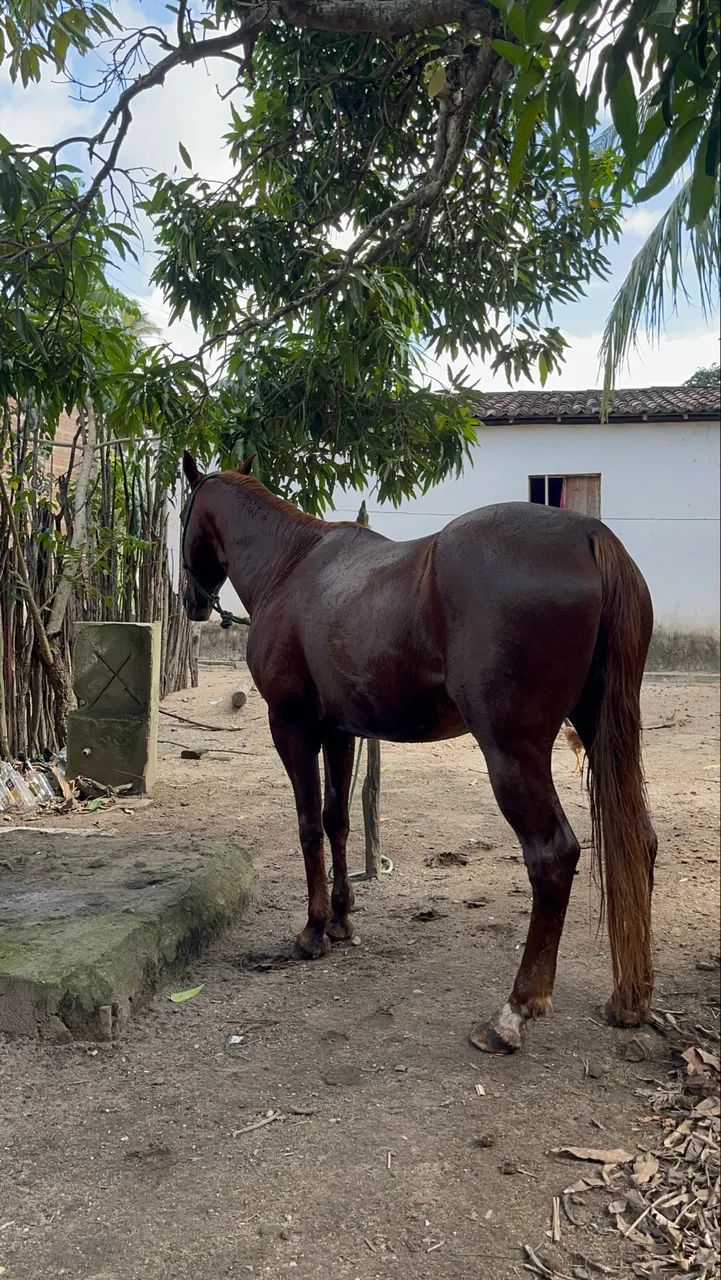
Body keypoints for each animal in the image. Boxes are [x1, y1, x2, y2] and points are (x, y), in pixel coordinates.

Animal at [180, 451, 657, 1055]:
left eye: (182, 515)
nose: (192, 602)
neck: (292, 566)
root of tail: (590, 536)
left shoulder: (292, 726)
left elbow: (309, 825)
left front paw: (313, 931)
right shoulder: (340, 730)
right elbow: (337, 821)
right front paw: (342, 918)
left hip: (512, 754)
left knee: (553, 857)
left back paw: (512, 1013)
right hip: (601, 730)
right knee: (639, 841)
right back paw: (629, 1000)